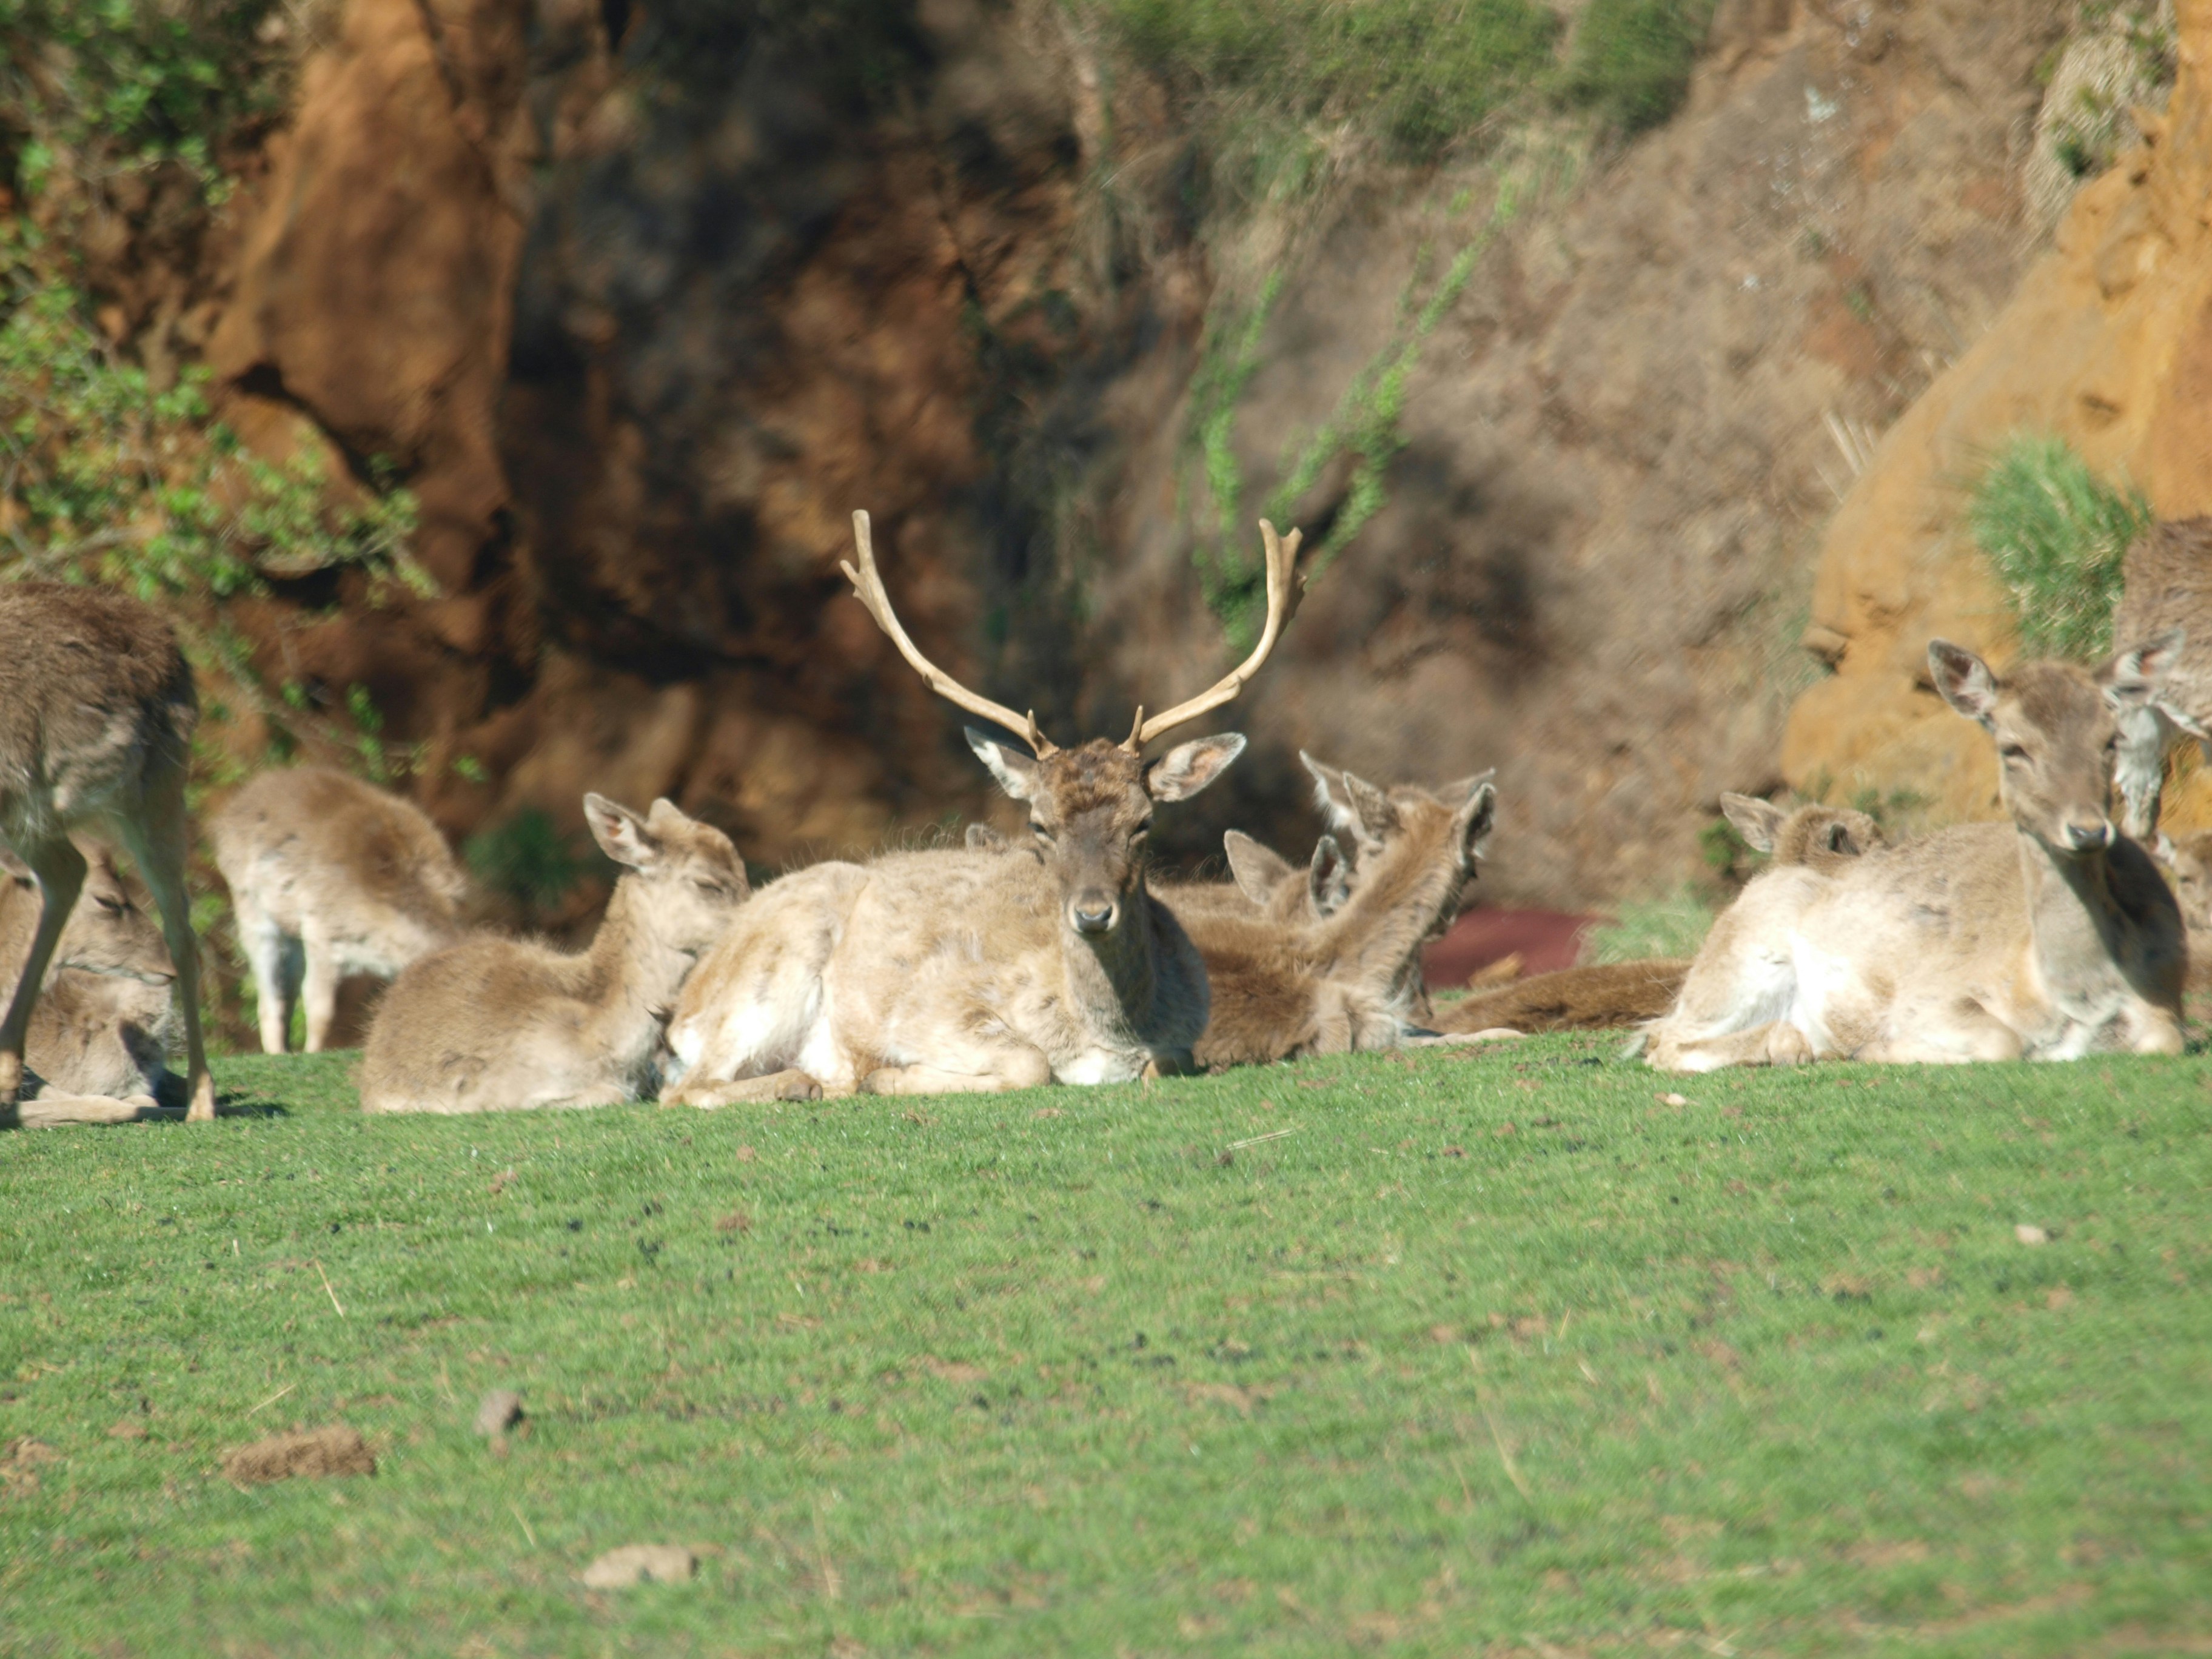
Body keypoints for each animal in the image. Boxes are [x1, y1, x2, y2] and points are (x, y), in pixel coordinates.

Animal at [657, 511, 1304, 1104]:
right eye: (1040, 825)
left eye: (1142, 822)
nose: (1093, 914)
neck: (1108, 1038)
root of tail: (682, 1005)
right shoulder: (932, 1007)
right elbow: (1029, 1063)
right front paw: (887, 1077)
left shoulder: (1184, 1038)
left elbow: (1168, 1061)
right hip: (771, 969)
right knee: (686, 1088)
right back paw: (808, 1083)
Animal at [1646, 637, 2188, 1071]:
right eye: (2013, 747)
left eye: (2110, 740)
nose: (2087, 828)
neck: (2076, 994)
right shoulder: (1933, 996)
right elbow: (2000, 1042)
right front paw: (1880, 1048)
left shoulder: (2165, 1005)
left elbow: (2165, 1038)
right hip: (1740, 964)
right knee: (1665, 1042)